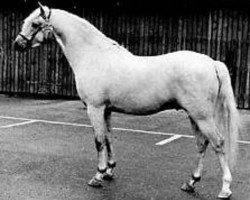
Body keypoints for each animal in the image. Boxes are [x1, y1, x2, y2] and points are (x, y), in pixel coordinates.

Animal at [14, 3, 240, 199]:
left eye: (35, 24)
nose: (18, 44)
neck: (94, 56)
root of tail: (212, 62)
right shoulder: (106, 110)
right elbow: (108, 138)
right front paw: (109, 171)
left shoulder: (95, 109)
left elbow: (98, 141)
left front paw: (98, 175)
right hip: (195, 116)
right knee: (202, 145)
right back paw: (191, 182)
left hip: (202, 116)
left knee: (218, 143)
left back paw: (225, 189)